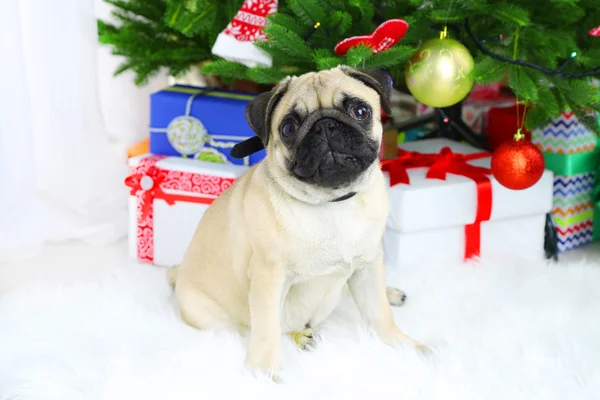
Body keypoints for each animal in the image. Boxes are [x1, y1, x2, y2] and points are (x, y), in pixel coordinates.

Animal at [166, 65, 424, 376]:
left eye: (360, 111)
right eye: (288, 128)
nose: (325, 126)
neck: (332, 202)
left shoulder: (368, 266)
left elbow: (379, 313)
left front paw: (405, 345)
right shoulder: (268, 278)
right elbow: (266, 329)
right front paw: (262, 372)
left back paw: (390, 293)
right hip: (211, 316)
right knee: (264, 327)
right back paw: (301, 336)